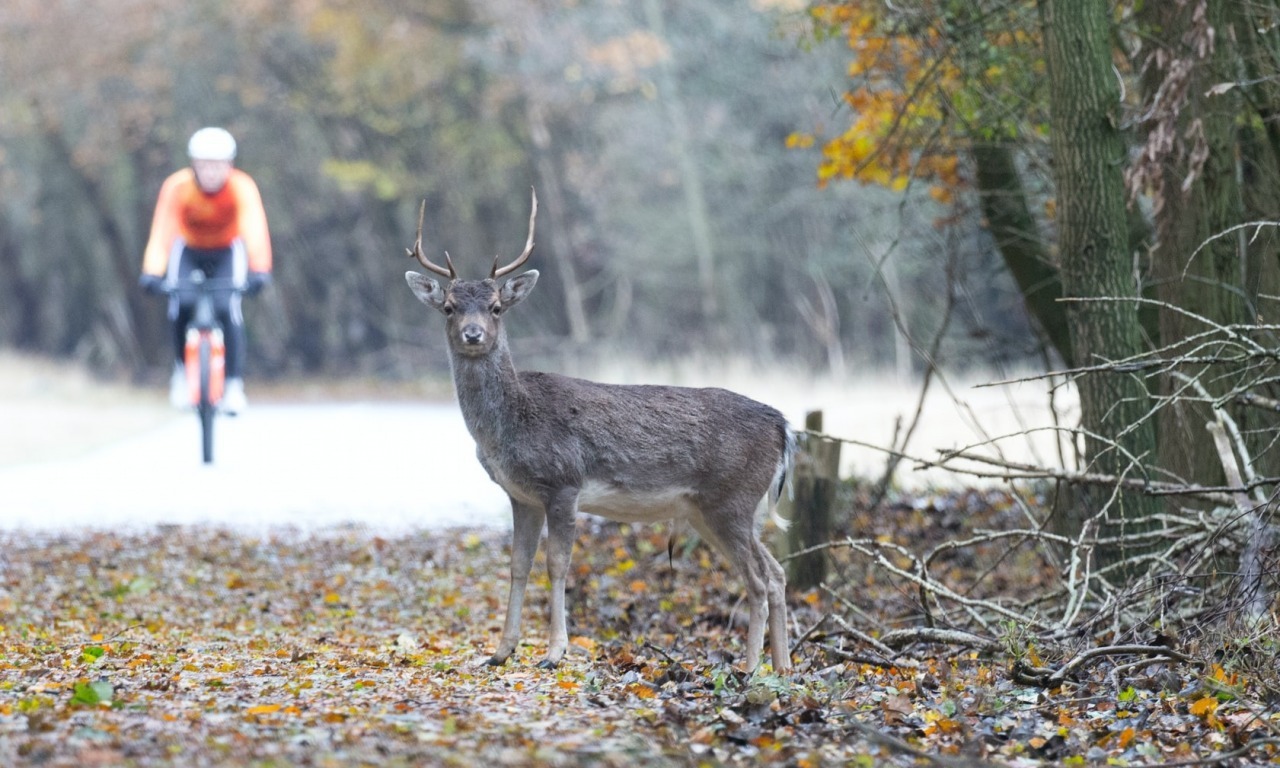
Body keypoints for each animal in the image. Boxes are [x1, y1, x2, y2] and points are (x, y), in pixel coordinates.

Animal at [404, 190, 793, 670]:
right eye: (449, 307)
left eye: (496, 307)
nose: (473, 333)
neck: (509, 428)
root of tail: (783, 426)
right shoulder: (521, 495)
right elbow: (517, 565)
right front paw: (500, 652)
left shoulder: (563, 482)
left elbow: (557, 565)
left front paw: (554, 652)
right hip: (716, 509)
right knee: (776, 573)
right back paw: (783, 667)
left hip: (732, 500)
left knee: (757, 579)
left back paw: (752, 667)